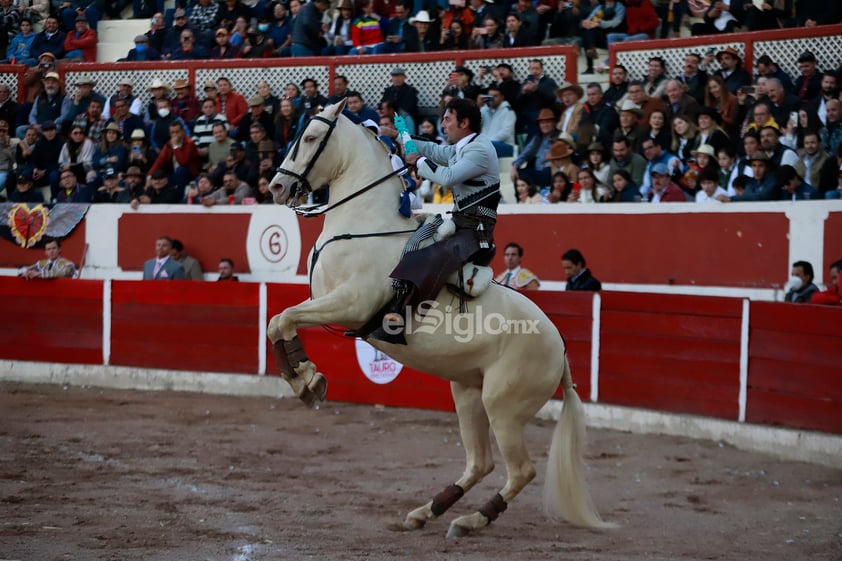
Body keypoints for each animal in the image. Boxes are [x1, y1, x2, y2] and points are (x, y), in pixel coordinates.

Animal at [266, 100, 608, 540]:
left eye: (309, 137)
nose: (276, 187)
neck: (365, 226)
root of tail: (561, 348)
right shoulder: (323, 299)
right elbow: (278, 320)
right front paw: (305, 379)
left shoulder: (350, 304)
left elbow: (283, 319)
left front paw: (309, 381)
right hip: (466, 392)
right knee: (481, 462)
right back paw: (427, 511)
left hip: (503, 406)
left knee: (521, 470)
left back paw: (470, 520)